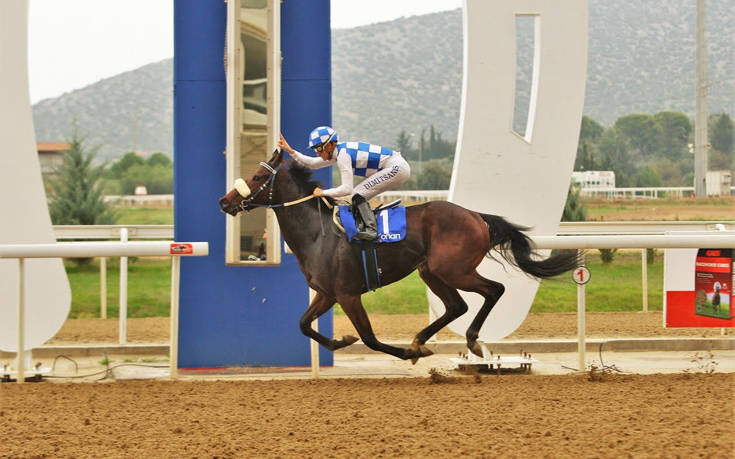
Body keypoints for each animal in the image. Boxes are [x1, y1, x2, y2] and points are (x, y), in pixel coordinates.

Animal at [218, 151, 580, 362]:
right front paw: (341, 340)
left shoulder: (347, 294)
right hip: (430, 271)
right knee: (457, 306)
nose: (225, 201)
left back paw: (469, 341)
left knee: (493, 290)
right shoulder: (327, 293)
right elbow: (304, 324)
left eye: (257, 177)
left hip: (452, 269)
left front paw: (403, 353)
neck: (318, 234)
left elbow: (369, 337)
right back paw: (421, 340)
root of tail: (476, 216)